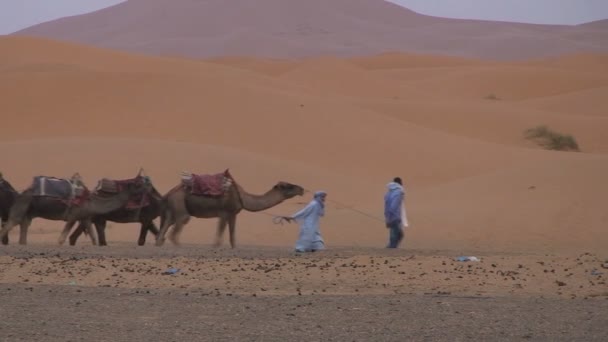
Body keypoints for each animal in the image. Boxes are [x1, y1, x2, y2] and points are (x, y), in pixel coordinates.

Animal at [0, 174, 152, 246]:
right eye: (139, 184)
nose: (149, 184)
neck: (93, 201)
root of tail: (20, 193)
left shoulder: (85, 218)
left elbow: (93, 237)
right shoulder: (73, 215)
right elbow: (61, 239)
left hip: (30, 212)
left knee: (23, 228)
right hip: (22, 207)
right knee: (10, 224)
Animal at [154, 170, 302, 248]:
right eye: (288, 186)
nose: (301, 188)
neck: (243, 197)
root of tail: (168, 194)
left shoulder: (233, 214)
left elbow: (232, 235)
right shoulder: (224, 213)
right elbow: (220, 235)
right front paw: (215, 246)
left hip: (171, 208)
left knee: (166, 225)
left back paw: (160, 243)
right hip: (179, 204)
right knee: (178, 225)